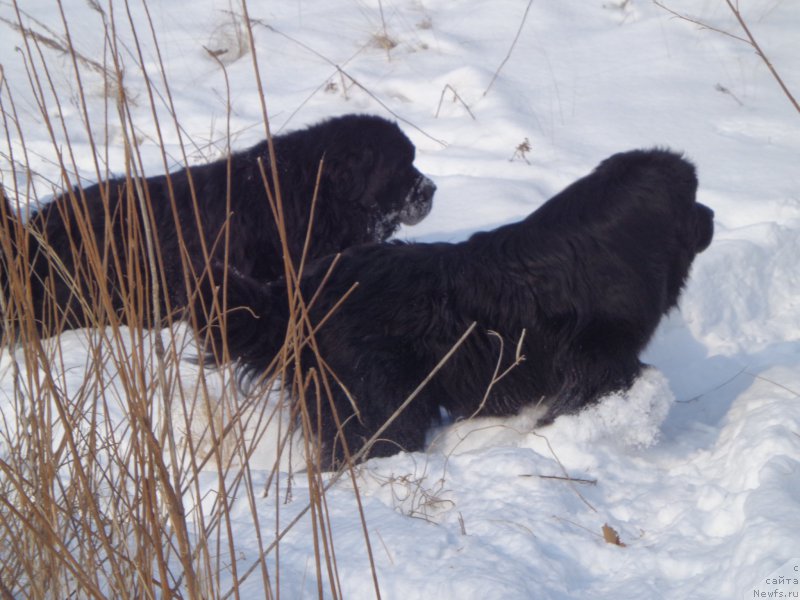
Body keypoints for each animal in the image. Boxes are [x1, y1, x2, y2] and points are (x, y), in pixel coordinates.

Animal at [198, 149, 712, 468]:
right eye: (693, 198)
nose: (711, 215)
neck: (612, 243)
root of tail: (298, 294)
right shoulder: (598, 363)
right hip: (378, 407)